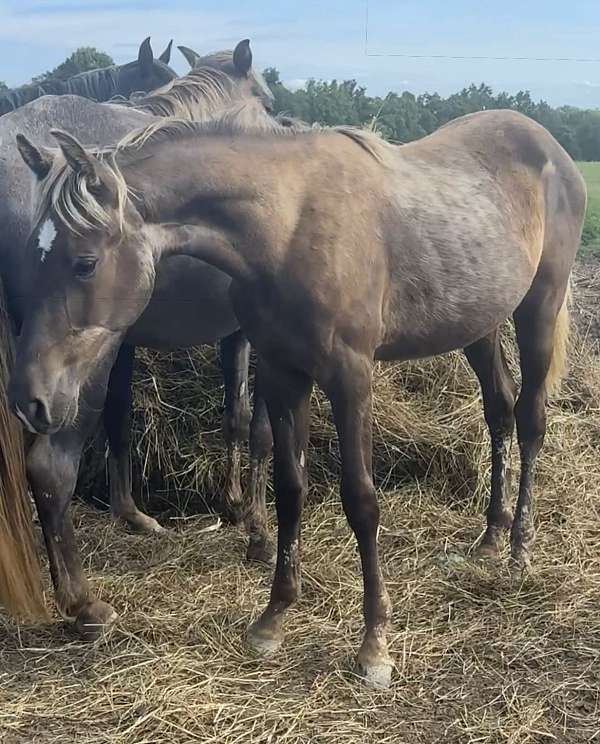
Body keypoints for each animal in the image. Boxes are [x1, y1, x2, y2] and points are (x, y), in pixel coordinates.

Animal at [10, 103, 586, 687]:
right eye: (30, 261)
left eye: (84, 262)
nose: (28, 399)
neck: (288, 225)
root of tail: (548, 146)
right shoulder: (284, 373)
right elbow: (289, 488)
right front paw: (273, 617)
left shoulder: (351, 377)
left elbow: (361, 500)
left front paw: (374, 645)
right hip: (478, 325)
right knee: (500, 411)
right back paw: (491, 535)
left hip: (539, 307)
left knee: (531, 419)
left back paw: (519, 550)